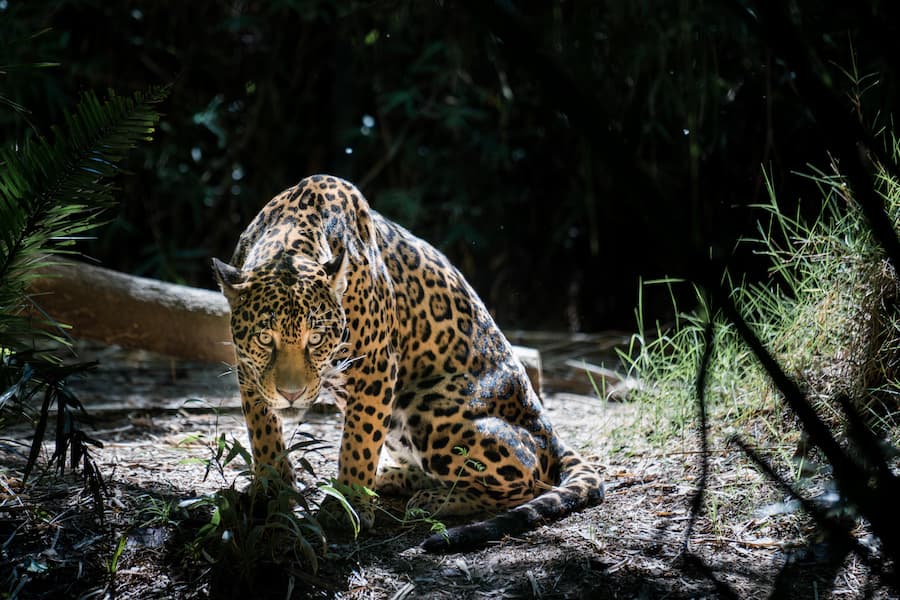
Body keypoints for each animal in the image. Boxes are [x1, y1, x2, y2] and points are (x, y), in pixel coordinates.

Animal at [212, 174, 603, 551]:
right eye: (265, 339)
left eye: (317, 339)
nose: (291, 395)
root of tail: (550, 432)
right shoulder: (248, 368)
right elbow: (262, 430)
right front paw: (271, 491)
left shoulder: (375, 366)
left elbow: (359, 441)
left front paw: (345, 507)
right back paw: (393, 478)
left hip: (433, 408)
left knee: (526, 483)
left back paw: (433, 498)